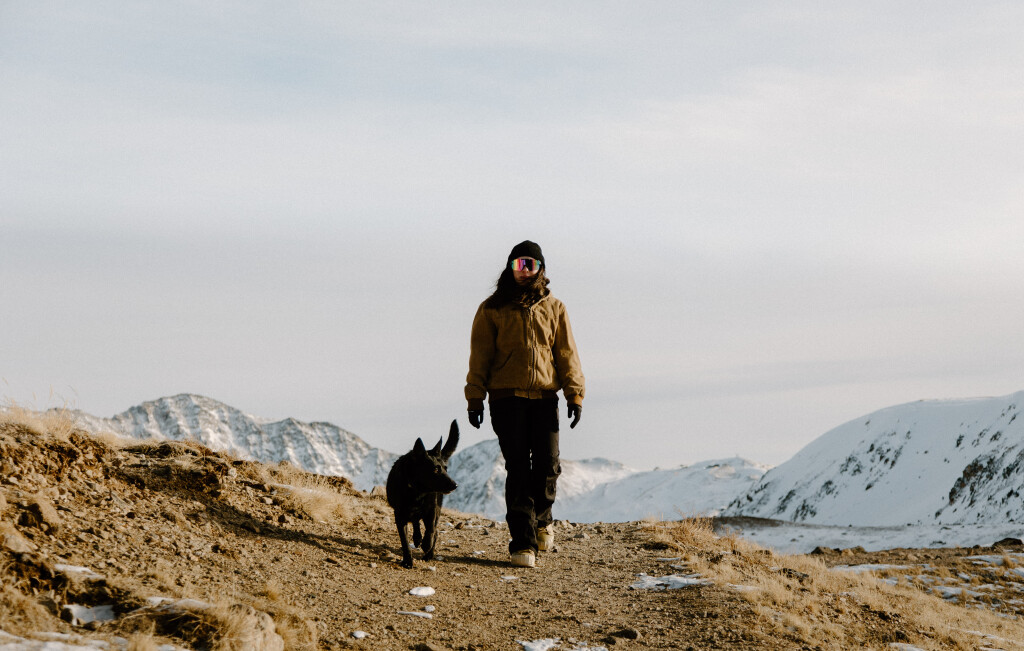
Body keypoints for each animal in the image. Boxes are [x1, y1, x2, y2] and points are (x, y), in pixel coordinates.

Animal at [386, 420, 459, 568]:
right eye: (436, 469)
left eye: (446, 468)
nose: (455, 485)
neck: (417, 491)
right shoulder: (400, 516)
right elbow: (404, 541)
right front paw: (407, 561)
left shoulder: (431, 510)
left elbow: (431, 530)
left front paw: (426, 544)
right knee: (416, 522)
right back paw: (417, 538)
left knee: (434, 531)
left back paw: (428, 553)